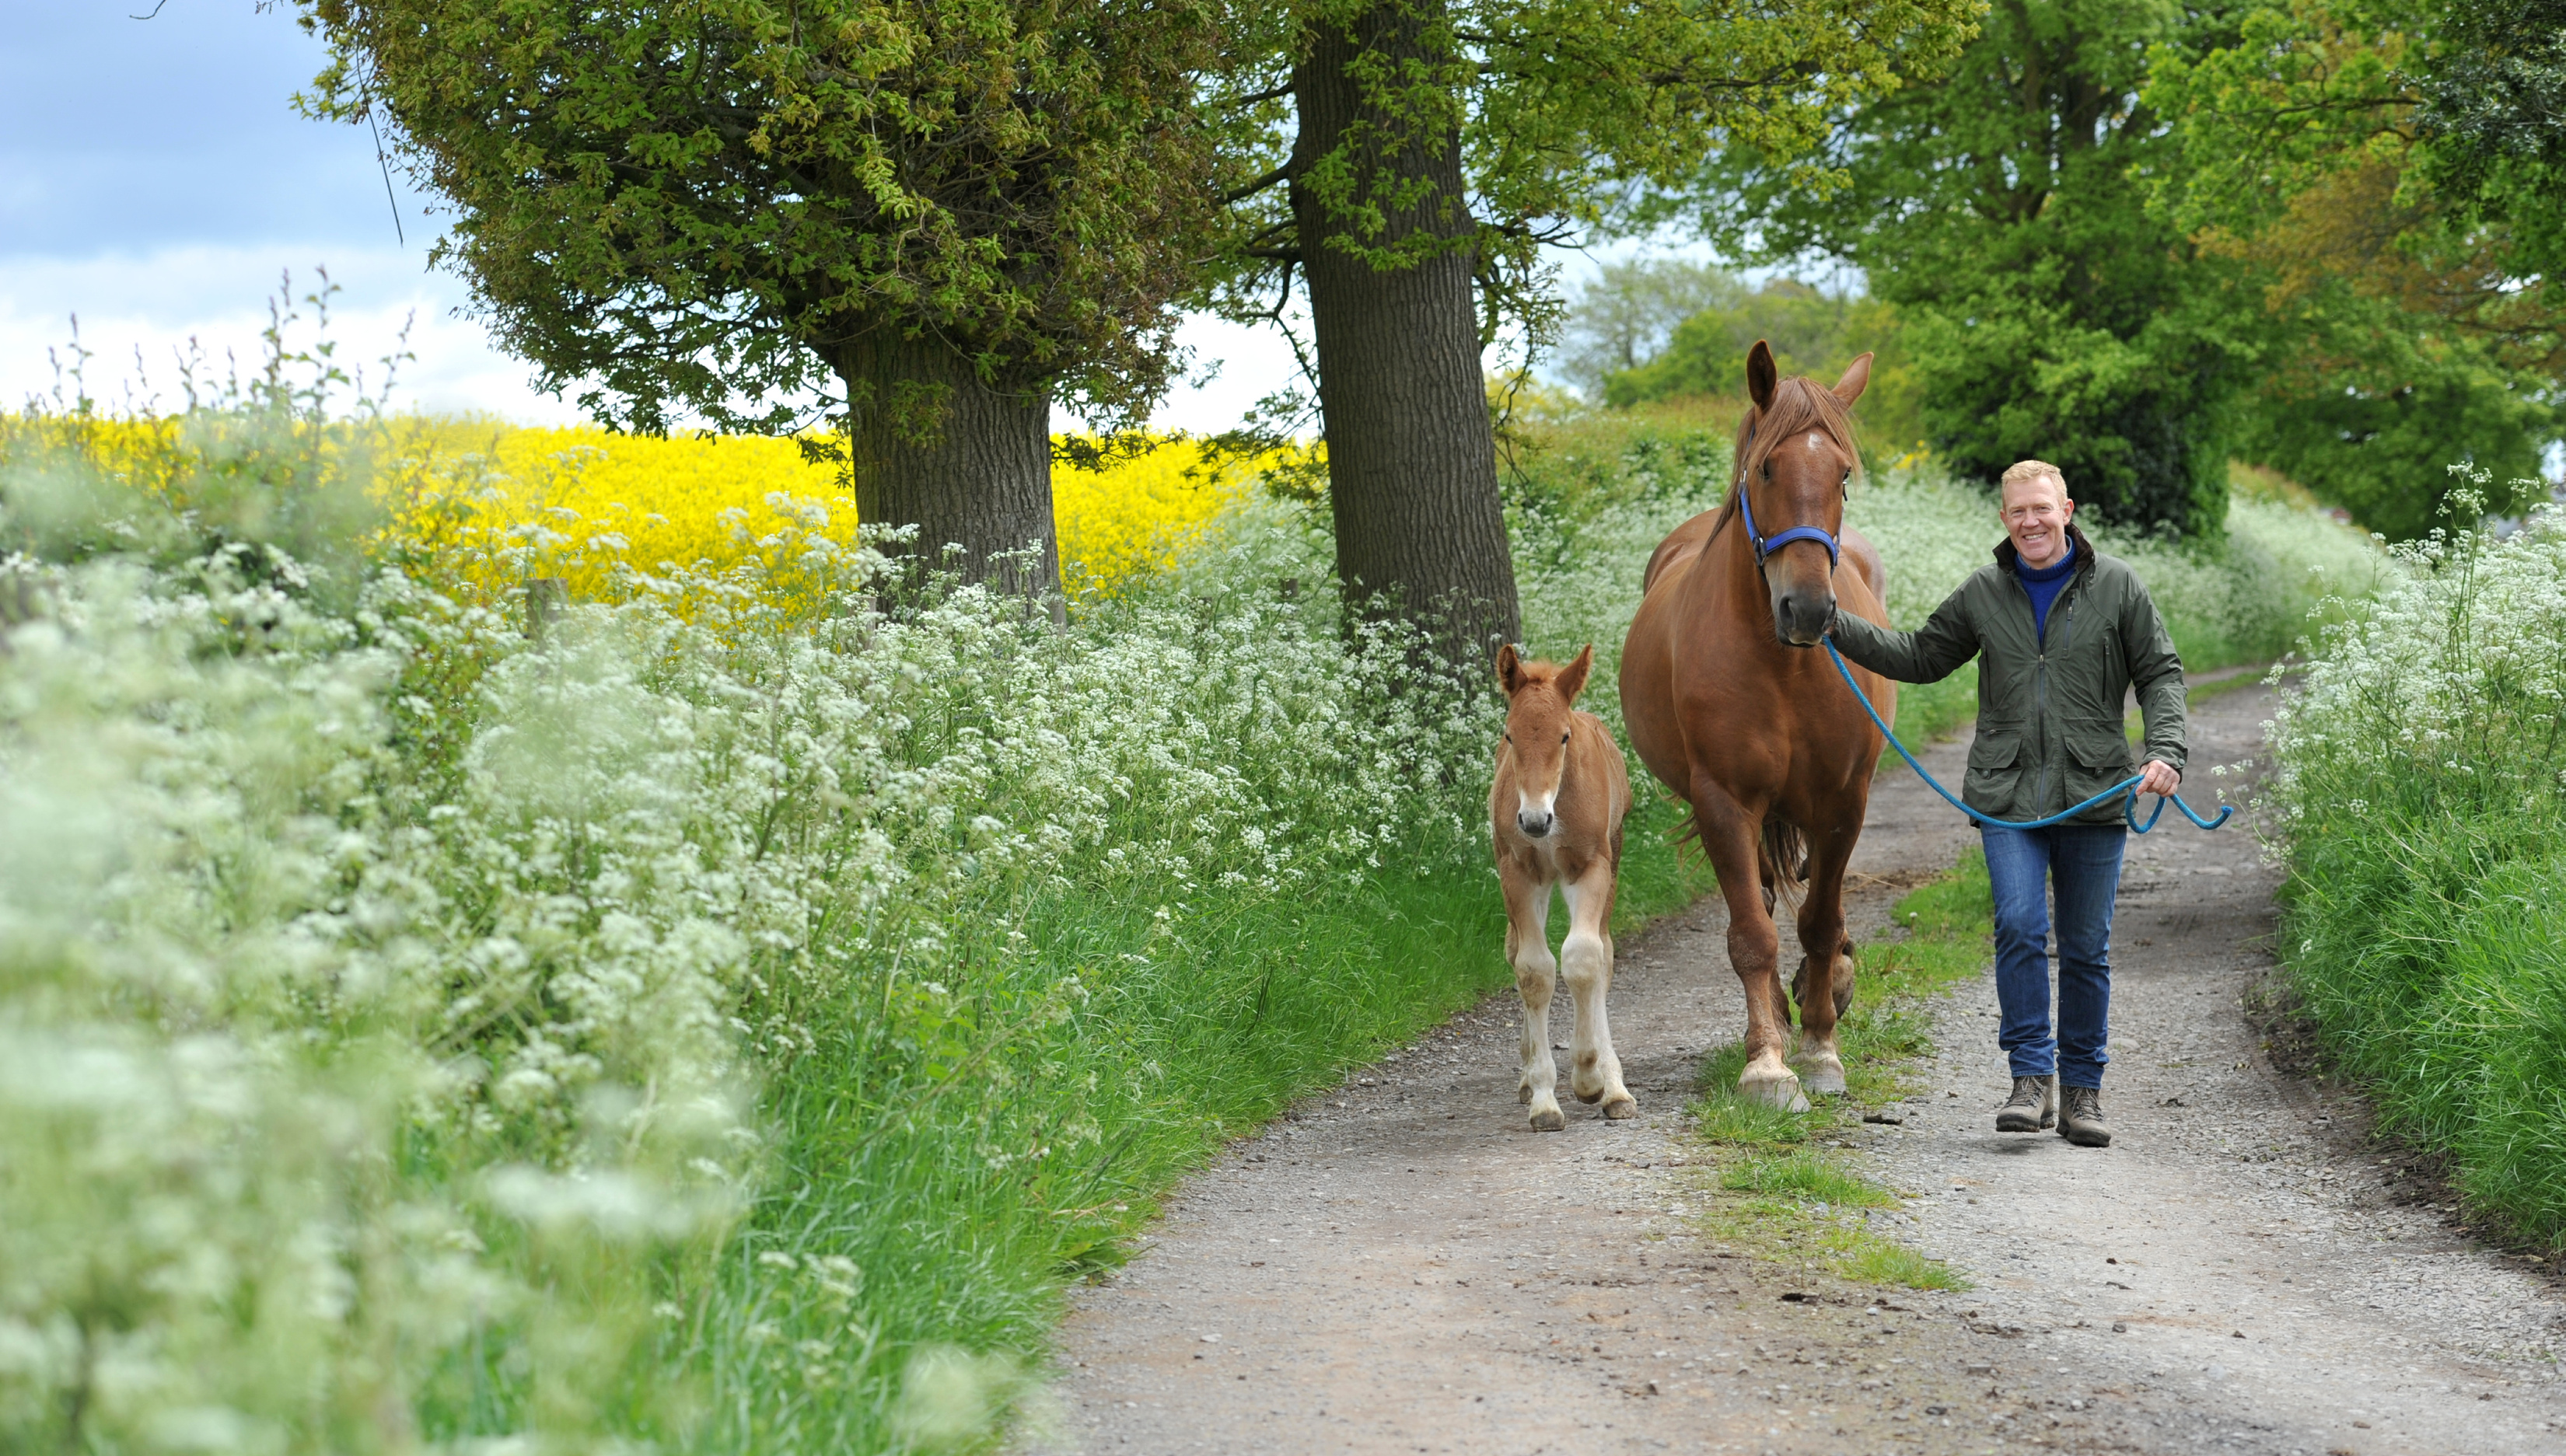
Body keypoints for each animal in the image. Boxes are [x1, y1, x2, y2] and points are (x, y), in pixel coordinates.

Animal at [1490, 643, 1635, 1131]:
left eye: (1565, 737)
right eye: (1510, 736)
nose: (1535, 821)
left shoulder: (1590, 869)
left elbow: (1584, 959)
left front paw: (1590, 1078)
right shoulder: (1517, 873)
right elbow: (1534, 970)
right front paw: (1543, 1098)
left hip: (1612, 863)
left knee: (1604, 952)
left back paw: (1615, 1088)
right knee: (1515, 950)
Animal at [1616, 340, 1897, 1111]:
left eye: (1843, 474)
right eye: (1767, 466)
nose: (1808, 608)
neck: (1783, 664)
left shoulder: (1844, 802)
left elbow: (1822, 922)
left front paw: (1822, 1046)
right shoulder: (1725, 802)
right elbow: (1753, 933)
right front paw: (1767, 1064)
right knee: (1764, 902)